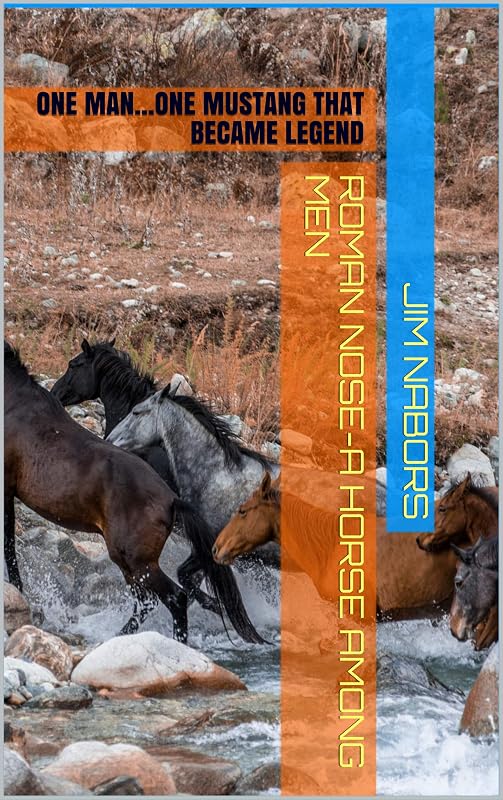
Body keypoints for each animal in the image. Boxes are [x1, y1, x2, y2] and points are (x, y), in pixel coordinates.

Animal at [4, 342, 264, 645]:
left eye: (73, 364)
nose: (58, 391)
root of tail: (171, 499)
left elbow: (9, 546)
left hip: (135, 560)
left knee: (174, 597)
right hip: (133, 563)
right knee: (149, 601)